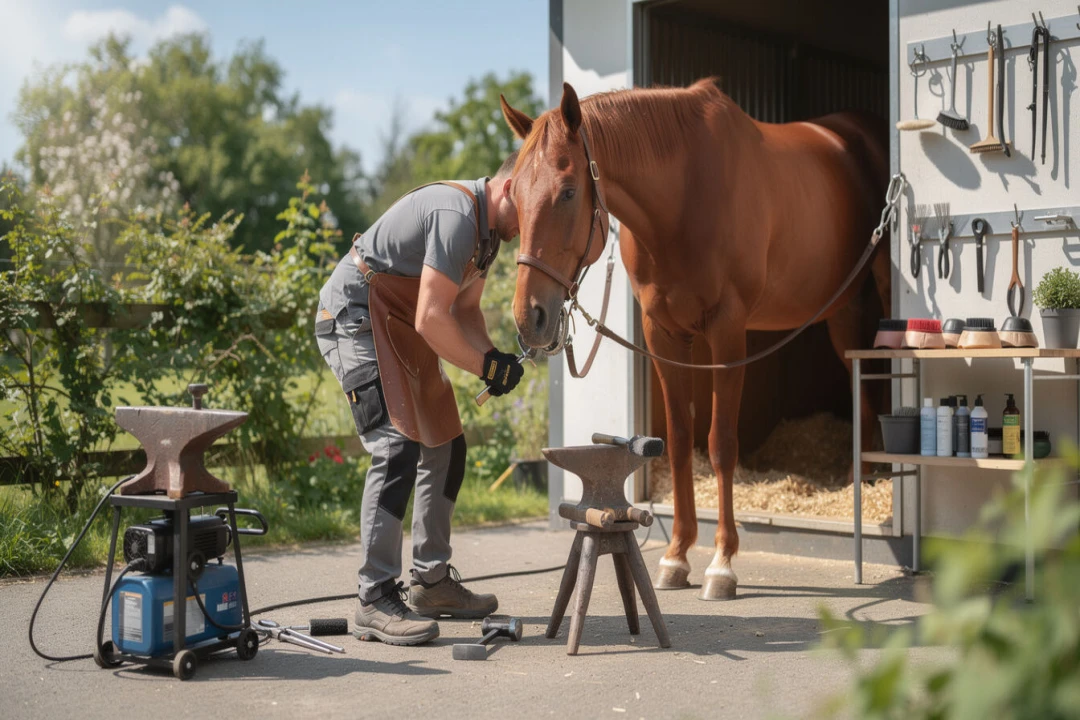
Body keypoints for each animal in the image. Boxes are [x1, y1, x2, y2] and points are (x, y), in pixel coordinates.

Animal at [500, 78, 889, 600]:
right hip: (842, 310)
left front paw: (722, 564)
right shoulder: (662, 334)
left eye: (567, 191)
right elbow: (681, 440)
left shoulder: (727, 332)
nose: (530, 318)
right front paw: (676, 556)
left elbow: (721, 443)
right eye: (514, 193)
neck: (682, 197)